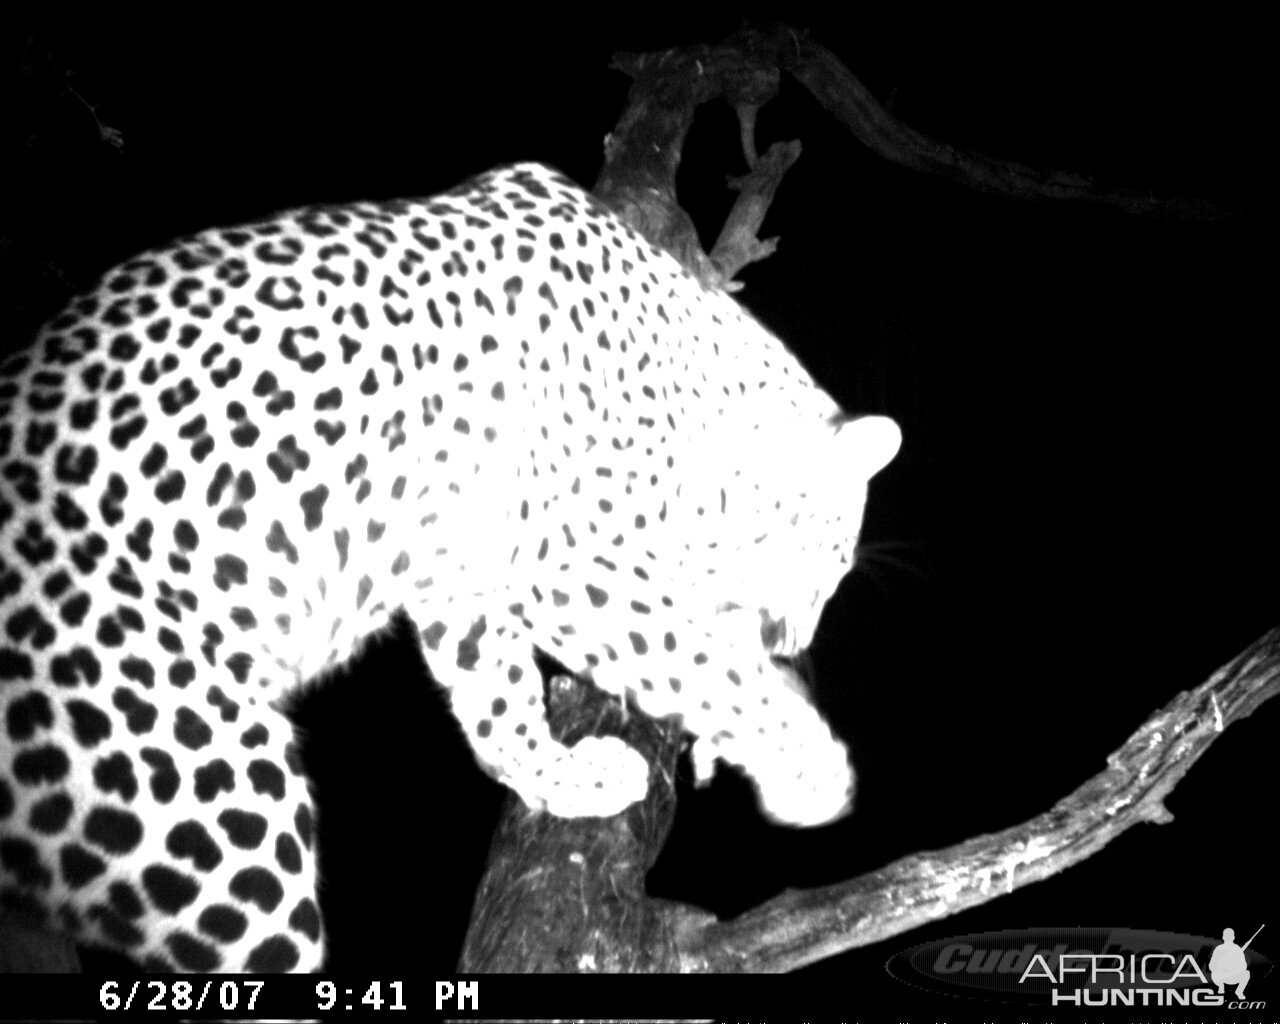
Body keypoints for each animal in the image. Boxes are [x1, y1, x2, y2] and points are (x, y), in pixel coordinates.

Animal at [0, 160, 901, 967]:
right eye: (829, 558)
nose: (791, 641)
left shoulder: (465, 571)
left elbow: (498, 693)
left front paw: (563, 775)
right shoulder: (565, 563)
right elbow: (700, 663)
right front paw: (808, 767)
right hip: (218, 797)